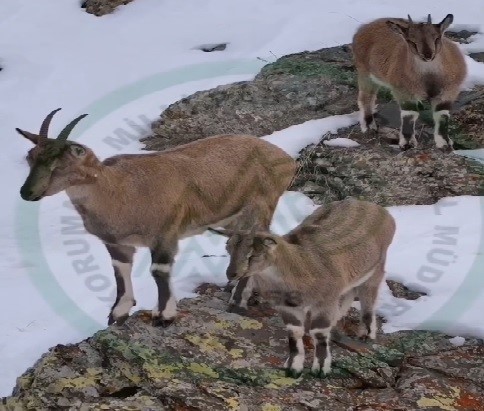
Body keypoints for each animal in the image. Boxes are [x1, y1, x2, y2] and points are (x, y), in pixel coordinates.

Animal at [17, 109, 296, 328]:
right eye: (30, 157)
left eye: (60, 164)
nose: (26, 192)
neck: (118, 190)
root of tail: (287, 160)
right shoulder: (117, 243)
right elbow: (120, 271)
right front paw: (118, 313)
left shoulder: (165, 234)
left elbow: (159, 271)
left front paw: (164, 315)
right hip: (232, 216)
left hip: (261, 206)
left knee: (254, 242)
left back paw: (238, 300)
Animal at [210, 200, 396, 380]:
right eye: (228, 249)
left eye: (253, 255)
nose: (231, 273)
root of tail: (381, 211)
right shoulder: (287, 306)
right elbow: (294, 332)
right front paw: (293, 368)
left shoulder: (325, 301)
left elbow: (319, 332)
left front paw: (320, 369)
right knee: (350, 293)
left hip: (376, 268)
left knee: (368, 295)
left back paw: (367, 333)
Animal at [352, 12, 468, 151]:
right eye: (411, 41)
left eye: (437, 38)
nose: (427, 55)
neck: (429, 78)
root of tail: (363, 28)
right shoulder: (403, 90)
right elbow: (409, 114)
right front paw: (407, 143)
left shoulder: (449, 91)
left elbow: (442, 114)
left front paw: (444, 143)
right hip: (365, 74)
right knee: (366, 99)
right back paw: (369, 126)